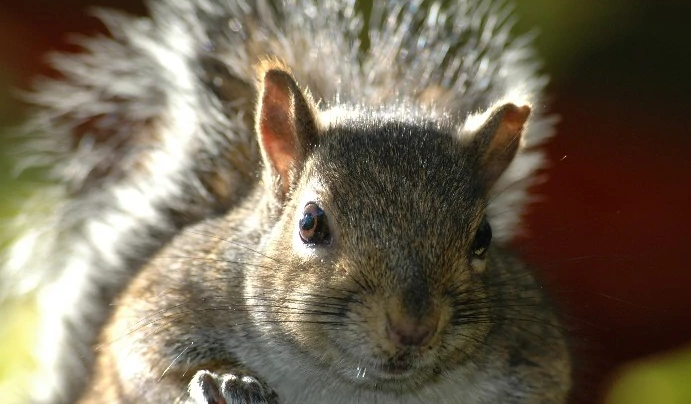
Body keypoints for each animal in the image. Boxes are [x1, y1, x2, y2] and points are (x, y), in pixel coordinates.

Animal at [1, 0, 572, 404]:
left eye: (483, 238)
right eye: (311, 223)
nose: (413, 327)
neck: (357, 387)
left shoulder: (535, 355)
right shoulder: (169, 299)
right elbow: (145, 363)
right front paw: (224, 384)